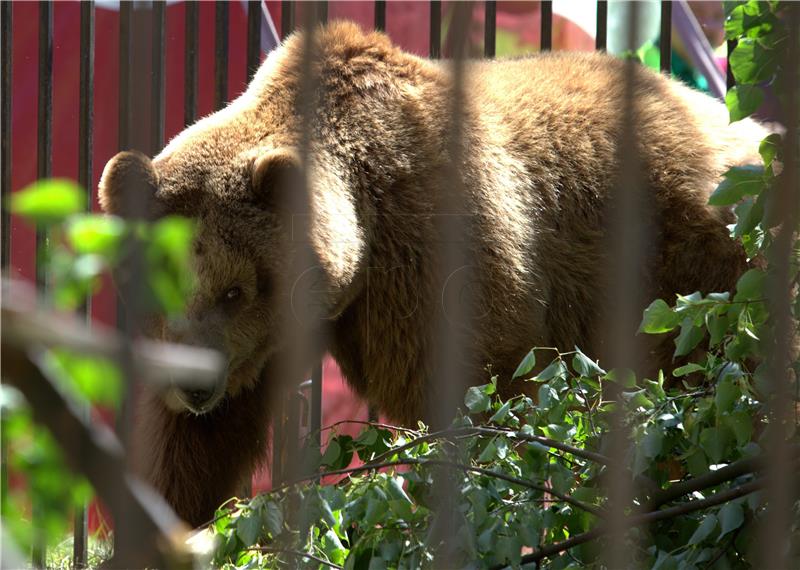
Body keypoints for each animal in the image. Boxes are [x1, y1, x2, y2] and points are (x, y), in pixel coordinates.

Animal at [97, 22, 764, 524]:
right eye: (161, 287)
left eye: (236, 289)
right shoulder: (260, 345)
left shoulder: (433, 258)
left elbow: (474, 394)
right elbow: (191, 453)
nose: (194, 385)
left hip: (694, 270)